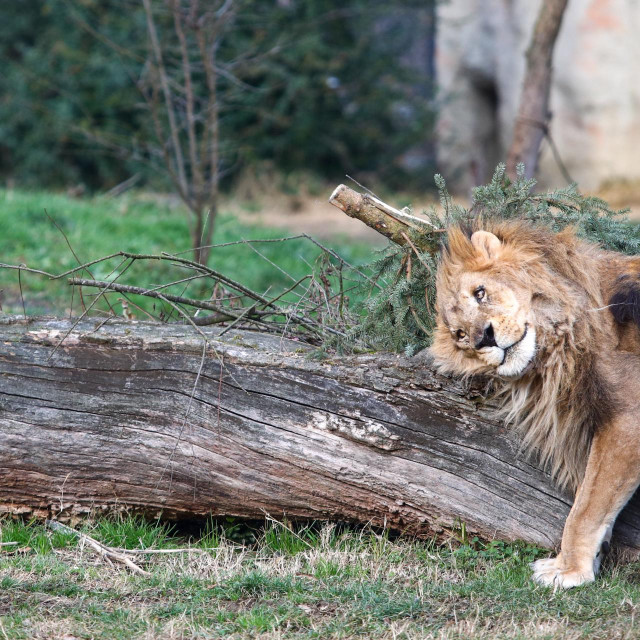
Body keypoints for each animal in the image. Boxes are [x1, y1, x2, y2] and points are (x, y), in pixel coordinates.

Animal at [428, 220, 640, 592]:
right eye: (459, 335)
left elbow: (586, 506)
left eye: (480, 293)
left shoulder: (629, 416)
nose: (484, 338)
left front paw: (568, 570)